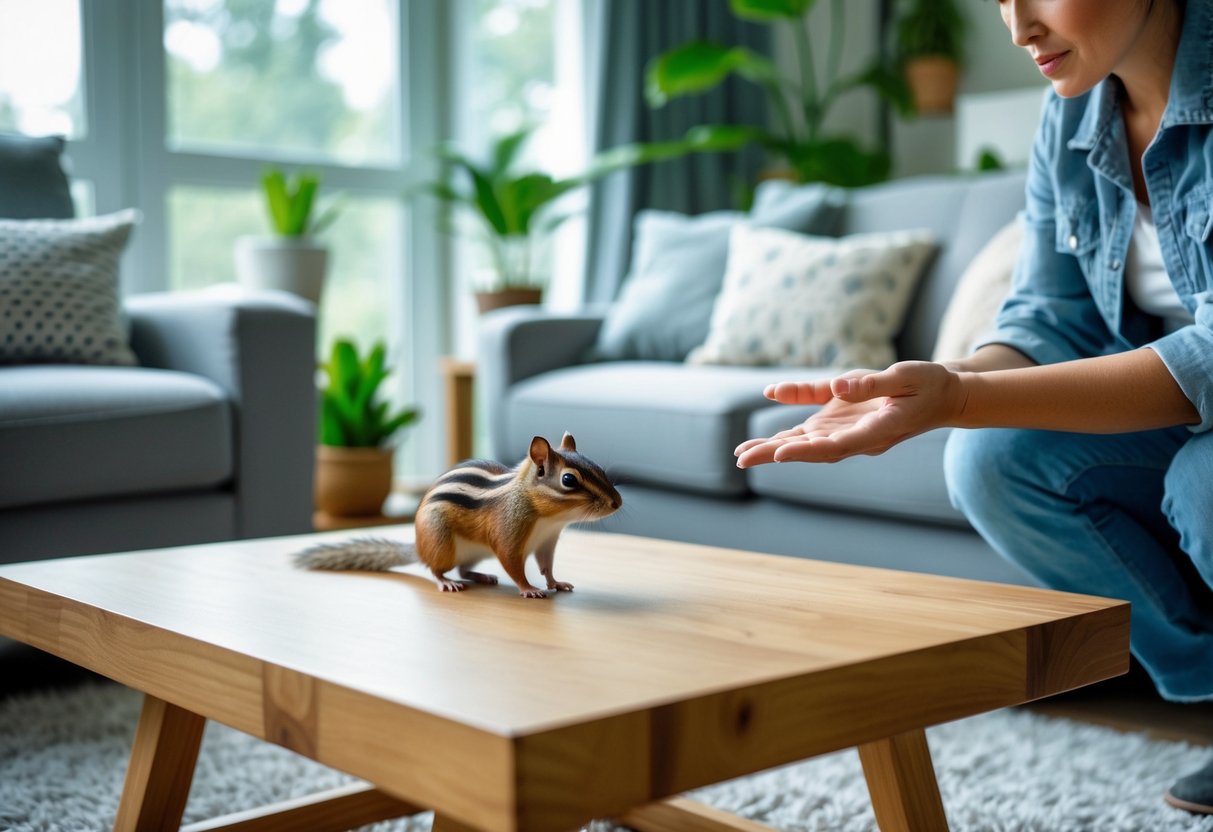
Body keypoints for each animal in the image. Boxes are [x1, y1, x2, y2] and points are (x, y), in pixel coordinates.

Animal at [294, 432, 622, 598]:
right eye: (568, 480)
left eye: (596, 466)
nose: (617, 503)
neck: (548, 519)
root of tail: (419, 546)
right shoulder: (508, 534)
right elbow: (513, 565)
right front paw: (529, 589)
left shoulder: (546, 541)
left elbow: (546, 566)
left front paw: (556, 583)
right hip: (442, 544)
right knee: (436, 569)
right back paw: (446, 582)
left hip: (472, 552)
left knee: (465, 569)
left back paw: (482, 576)